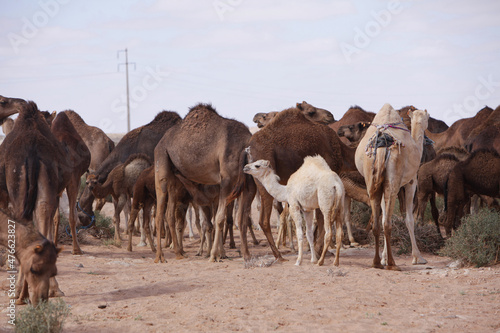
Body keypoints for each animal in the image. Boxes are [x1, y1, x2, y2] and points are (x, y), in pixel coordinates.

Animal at [152, 104, 256, 262]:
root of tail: (160, 143)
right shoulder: (226, 180)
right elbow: (219, 218)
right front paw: (213, 255)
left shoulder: (245, 185)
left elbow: (242, 218)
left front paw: (246, 255)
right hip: (162, 161)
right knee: (159, 214)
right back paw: (160, 256)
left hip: (175, 178)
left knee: (170, 214)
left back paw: (178, 253)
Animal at [354, 104, 428, 270]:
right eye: (428, 117)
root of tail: (382, 146)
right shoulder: (411, 182)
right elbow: (409, 219)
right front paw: (418, 257)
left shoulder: (381, 184)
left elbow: (383, 218)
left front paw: (383, 258)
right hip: (393, 182)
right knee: (388, 223)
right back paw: (393, 264)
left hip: (372, 179)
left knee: (378, 222)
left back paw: (377, 262)